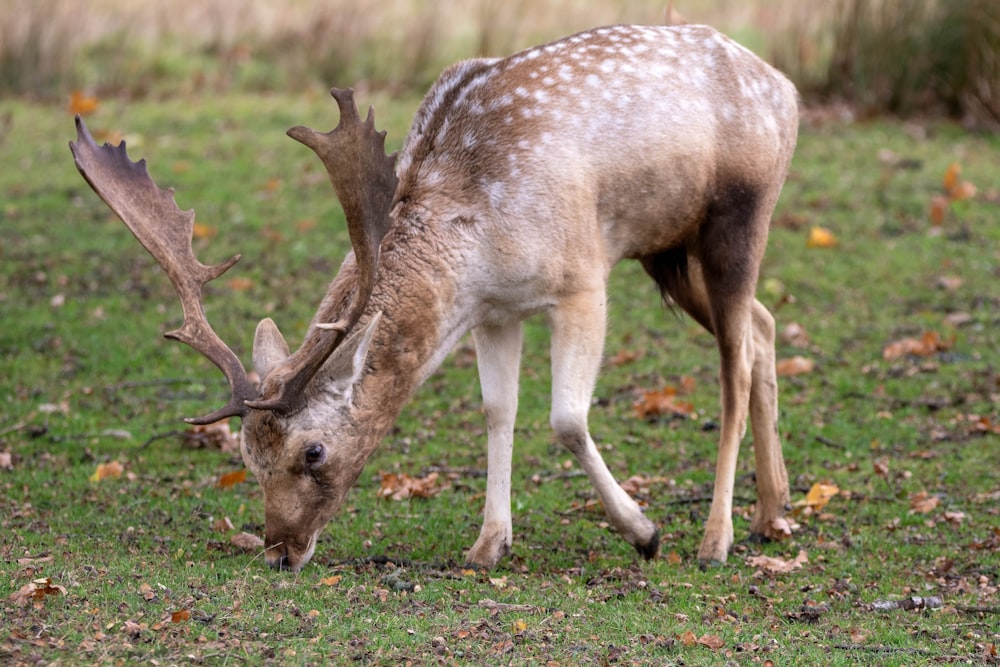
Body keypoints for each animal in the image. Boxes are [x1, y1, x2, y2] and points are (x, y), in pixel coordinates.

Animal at [72, 23, 796, 572]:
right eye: (247, 453)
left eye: (313, 452)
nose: (278, 551)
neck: (477, 240)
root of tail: (785, 89)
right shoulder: (496, 312)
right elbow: (498, 412)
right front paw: (488, 545)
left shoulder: (582, 279)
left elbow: (565, 418)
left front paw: (644, 533)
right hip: (666, 249)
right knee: (763, 326)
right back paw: (773, 512)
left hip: (739, 217)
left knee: (734, 365)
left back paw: (715, 539)